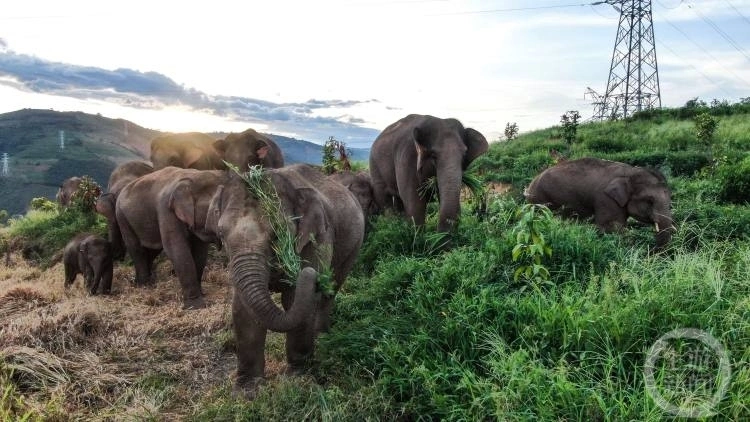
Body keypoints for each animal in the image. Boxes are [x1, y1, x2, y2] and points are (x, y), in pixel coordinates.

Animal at [207, 164, 366, 396]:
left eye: (276, 235)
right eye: (220, 234)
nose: (312, 275)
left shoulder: (318, 238)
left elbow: (294, 300)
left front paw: (297, 378)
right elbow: (243, 308)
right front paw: (246, 390)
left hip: (354, 244)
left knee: (331, 290)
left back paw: (322, 336)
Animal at [524, 158, 680, 251]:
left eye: (670, 199)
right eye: (649, 200)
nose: (651, 252)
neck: (630, 172)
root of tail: (529, 185)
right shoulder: (606, 199)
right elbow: (612, 228)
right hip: (539, 201)